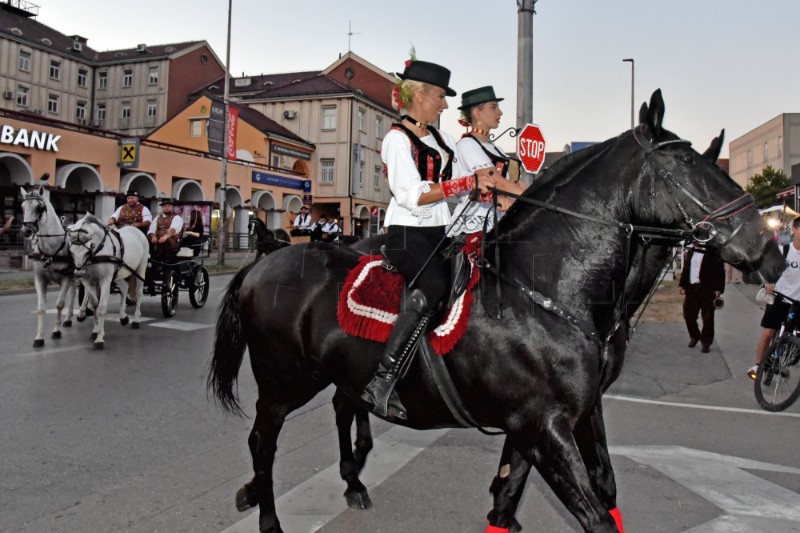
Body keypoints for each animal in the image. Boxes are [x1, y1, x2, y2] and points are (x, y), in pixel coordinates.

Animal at [20, 187, 80, 350]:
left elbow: (59, 305)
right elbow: (41, 308)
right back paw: (68, 318)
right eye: (22, 207)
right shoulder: (40, 278)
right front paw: (39, 338)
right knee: (74, 292)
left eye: (39, 208)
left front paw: (56, 331)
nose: (26, 231)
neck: (51, 248)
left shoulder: (66, 277)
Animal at [66, 212, 149, 350]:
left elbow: (102, 308)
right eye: (71, 252)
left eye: (87, 250)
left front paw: (99, 338)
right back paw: (123, 317)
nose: (77, 273)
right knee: (125, 287)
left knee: (139, 292)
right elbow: (95, 304)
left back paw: (136, 320)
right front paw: (96, 330)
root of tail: (136, 230)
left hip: (141, 268)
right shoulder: (88, 280)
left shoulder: (105, 280)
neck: (99, 251)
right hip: (118, 273)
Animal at [209, 91, 784, 532]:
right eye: (685, 163)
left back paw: (337, 483)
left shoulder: (558, 418)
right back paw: (268, 514)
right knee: (263, 440)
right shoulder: (542, 426)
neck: (546, 291)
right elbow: (594, 515)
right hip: (283, 381)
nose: (769, 248)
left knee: (337, 409)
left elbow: (528, 498)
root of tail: (262, 262)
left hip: (332, 373)